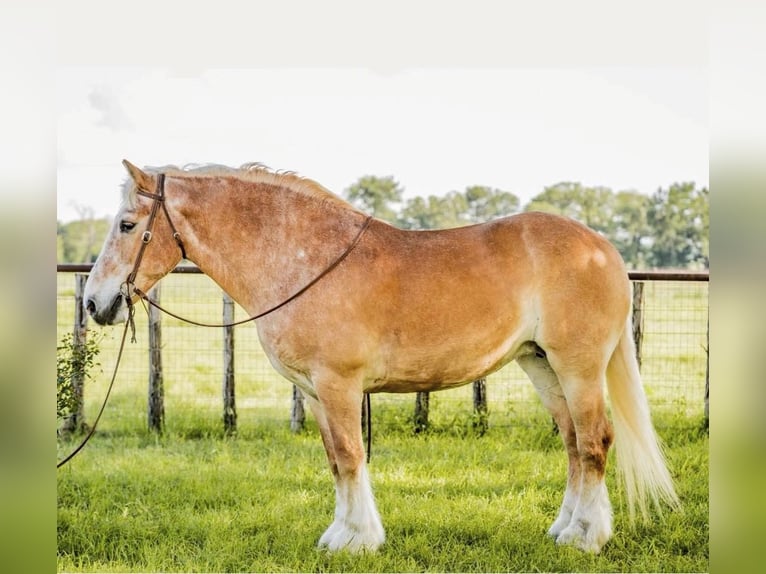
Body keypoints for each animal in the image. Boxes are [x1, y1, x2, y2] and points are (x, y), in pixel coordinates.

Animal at [84, 160, 680, 556]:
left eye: (127, 225)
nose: (95, 302)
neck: (304, 260)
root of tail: (601, 248)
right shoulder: (315, 392)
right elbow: (334, 459)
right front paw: (340, 534)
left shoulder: (339, 385)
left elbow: (351, 457)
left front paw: (358, 540)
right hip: (542, 367)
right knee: (575, 445)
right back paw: (563, 530)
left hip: (578, 369)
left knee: (595, 441)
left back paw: (587, 537)